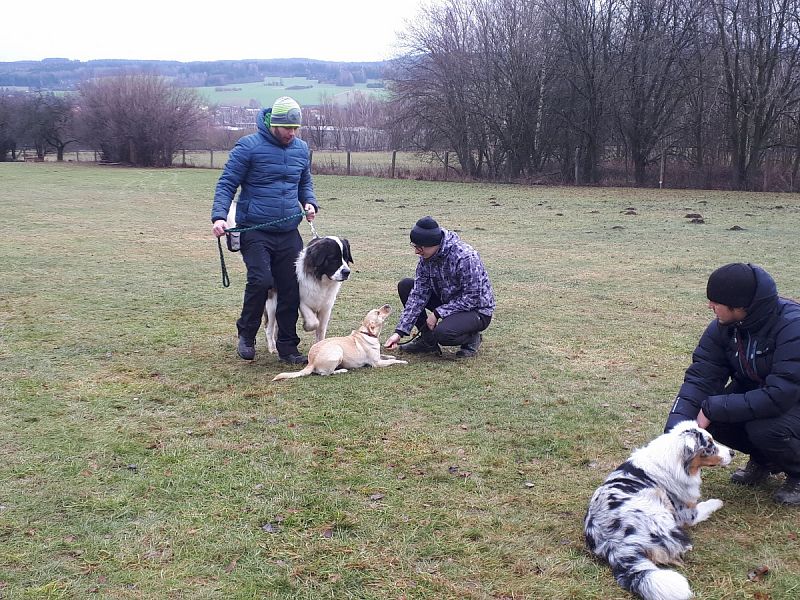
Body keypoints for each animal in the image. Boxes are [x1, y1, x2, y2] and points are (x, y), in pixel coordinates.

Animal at [584, 420, 736, 600]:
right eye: (709, 445)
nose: (733, 452)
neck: (675, 462)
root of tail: (612, 543)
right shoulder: (688, 513)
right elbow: (706, 505)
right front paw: (718, 502)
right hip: (658, 501)